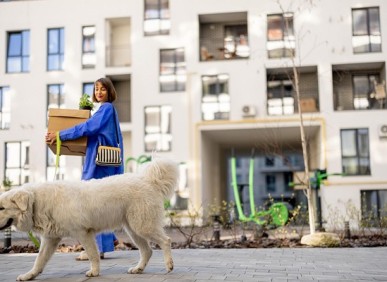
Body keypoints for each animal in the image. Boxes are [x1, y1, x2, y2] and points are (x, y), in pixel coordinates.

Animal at [0, 158, 180, 280]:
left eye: (2, 208)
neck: (36, 203)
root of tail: (148, 181)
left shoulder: (83, 233)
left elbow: (93, 254)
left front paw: (94, 272)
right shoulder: (50, 239)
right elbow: (39, 260)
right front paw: (29, 275)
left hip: (142, 226)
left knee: (166, 240)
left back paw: (169, 265)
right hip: (134, 230)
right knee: (147, 251)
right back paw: (138, 269)